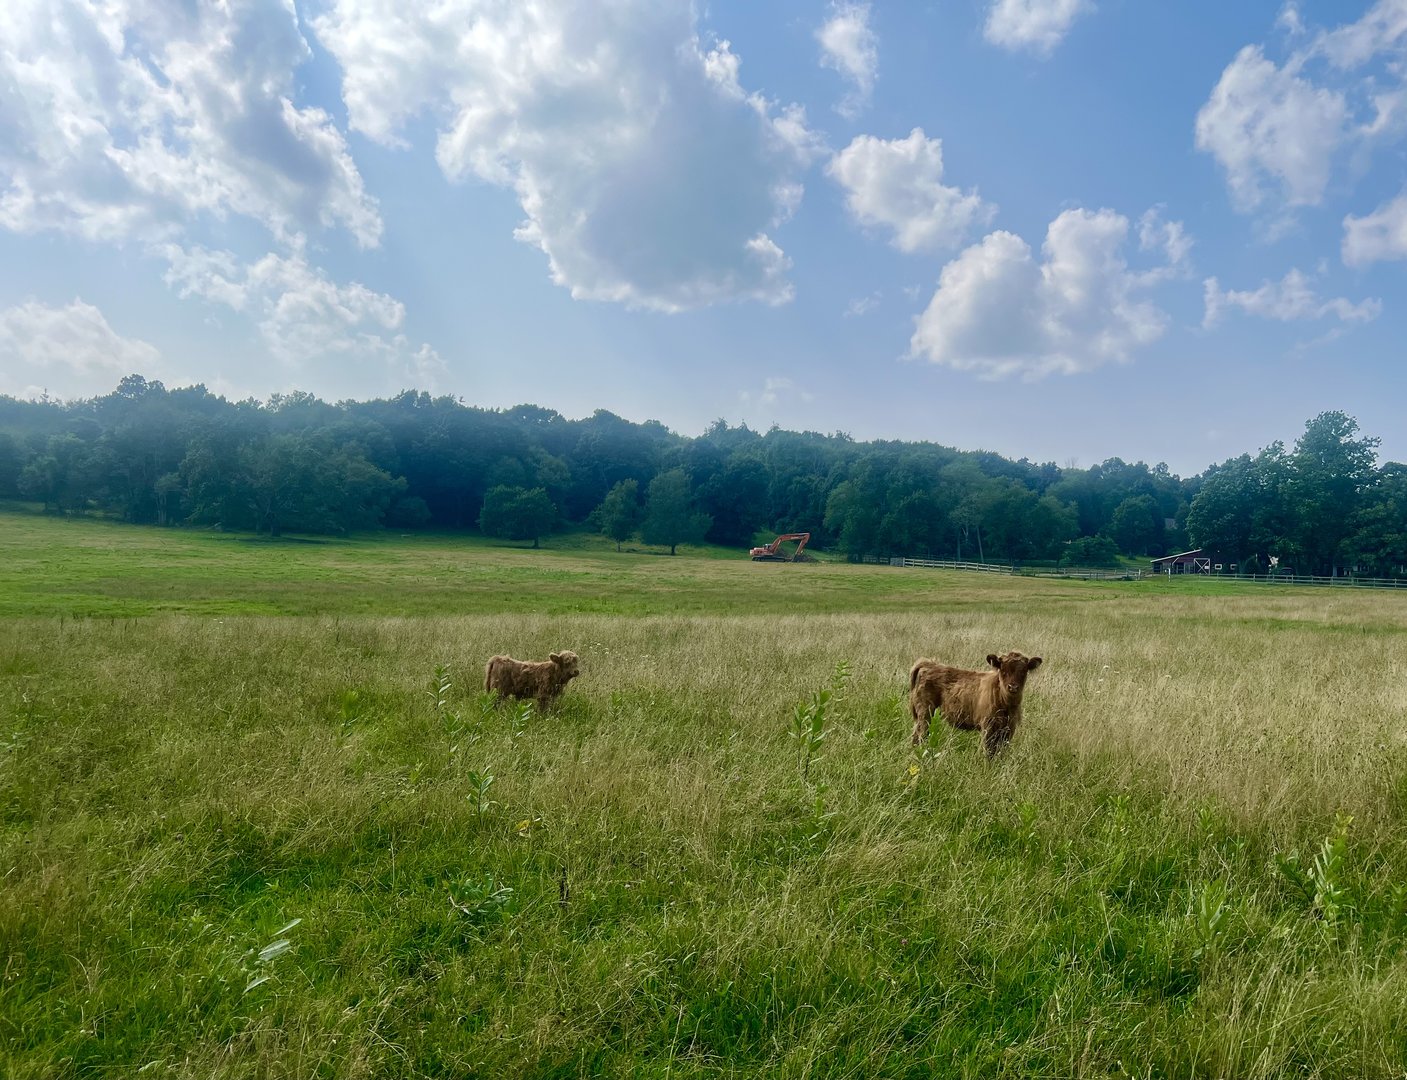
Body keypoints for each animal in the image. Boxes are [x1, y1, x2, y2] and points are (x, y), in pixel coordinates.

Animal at [909, 651, 1043, 757]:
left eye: (1024, 671)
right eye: (1003, 670)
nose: (1013, 687)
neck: (1006, 704)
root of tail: (928, 663)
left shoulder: (1009, 729)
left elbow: (1001, 752)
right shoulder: (988, 726)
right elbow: (988, 751)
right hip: (925, 713)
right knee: (920, 736)